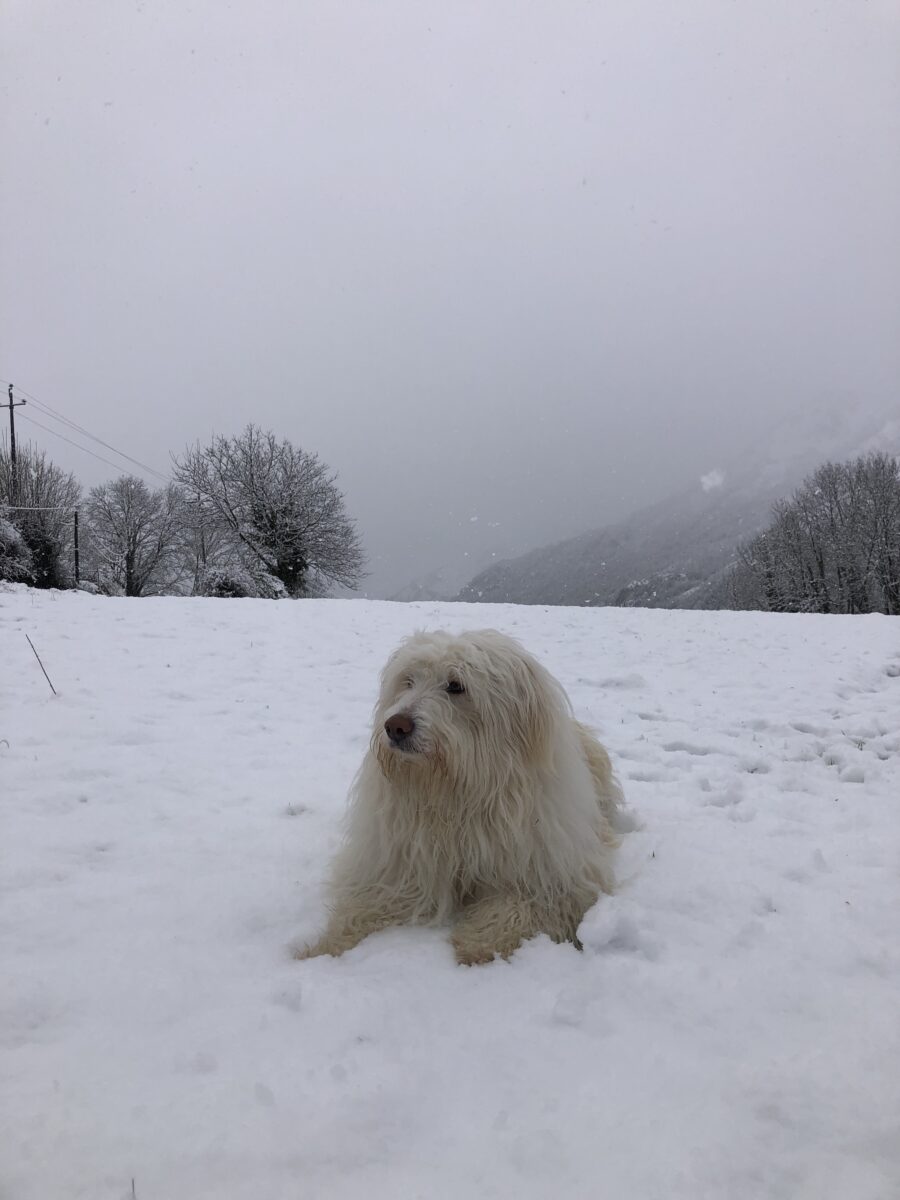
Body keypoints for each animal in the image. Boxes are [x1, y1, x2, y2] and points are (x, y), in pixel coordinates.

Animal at [300, 628, 624, 964]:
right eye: (408, 681)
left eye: (456, 686)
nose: (395, 726)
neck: (455, 792)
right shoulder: (401, 868)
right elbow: (368, 903)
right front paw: (324, 947)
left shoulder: (552, 879)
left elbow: (517, 906)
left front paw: (477, 944)